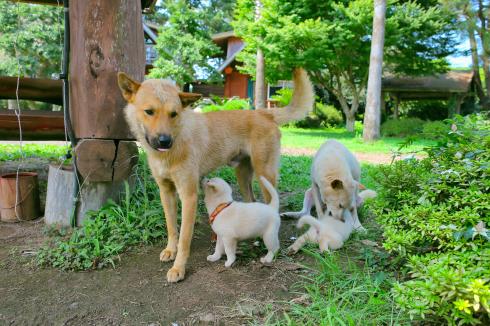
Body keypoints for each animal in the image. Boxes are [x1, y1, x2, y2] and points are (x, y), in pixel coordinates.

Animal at [117, 69, 312, 282]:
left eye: (173, 114)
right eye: (149, 111)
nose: (164, 141)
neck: (176, 142)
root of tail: (263, 112)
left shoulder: (189, 196)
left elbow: (185, 238)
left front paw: (179, 267)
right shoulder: (166, 191)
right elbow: (171, 227)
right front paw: (170, 249)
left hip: (264, 175)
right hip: (243, 177)